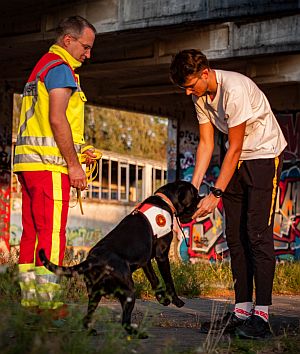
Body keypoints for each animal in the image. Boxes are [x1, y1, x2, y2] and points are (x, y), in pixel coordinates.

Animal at [38, 180, 200, 338]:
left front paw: (163, 299)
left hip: (95, 294)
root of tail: (92, 260)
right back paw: (138, 334)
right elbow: (168, 281)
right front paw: (176, 301)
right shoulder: (162, 255)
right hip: (129, 291)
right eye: (195, 194)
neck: (165, 200)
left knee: (87, 317)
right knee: (124, 322)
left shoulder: (146, 260)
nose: (201, 199)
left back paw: (91, 331)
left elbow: (155, 280)